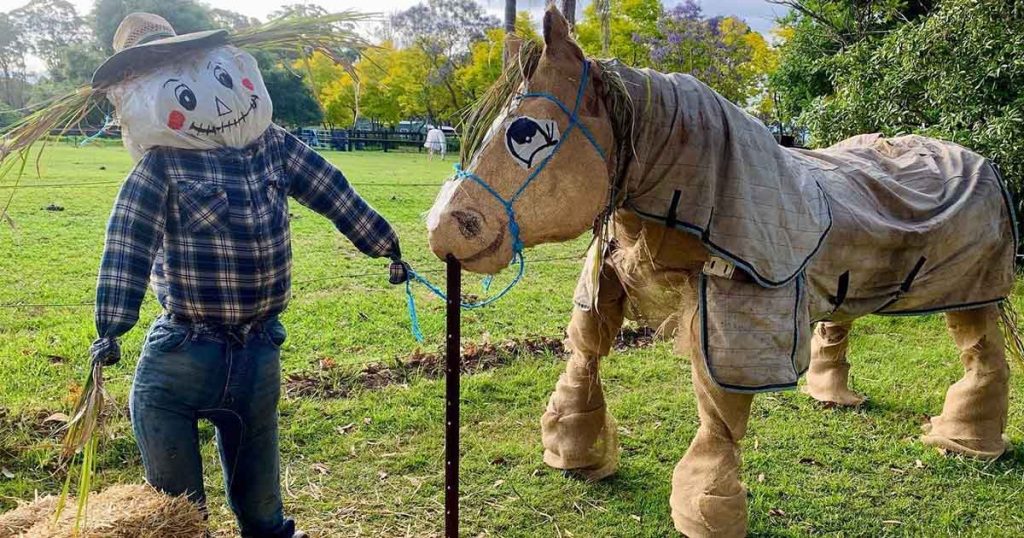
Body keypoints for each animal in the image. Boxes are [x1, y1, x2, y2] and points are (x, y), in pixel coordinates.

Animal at [425, 7, 1015, 532]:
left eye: (524, 133)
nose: (442, 230)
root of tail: (981, 160)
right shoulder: (609, 276)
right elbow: (586, 348)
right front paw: (573, 455)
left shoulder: (738, 308)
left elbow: (719, 408)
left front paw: (707, 510)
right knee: (845, 319)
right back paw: (839, 400)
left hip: (977, 288)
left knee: (980, 346)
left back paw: (965, 444)